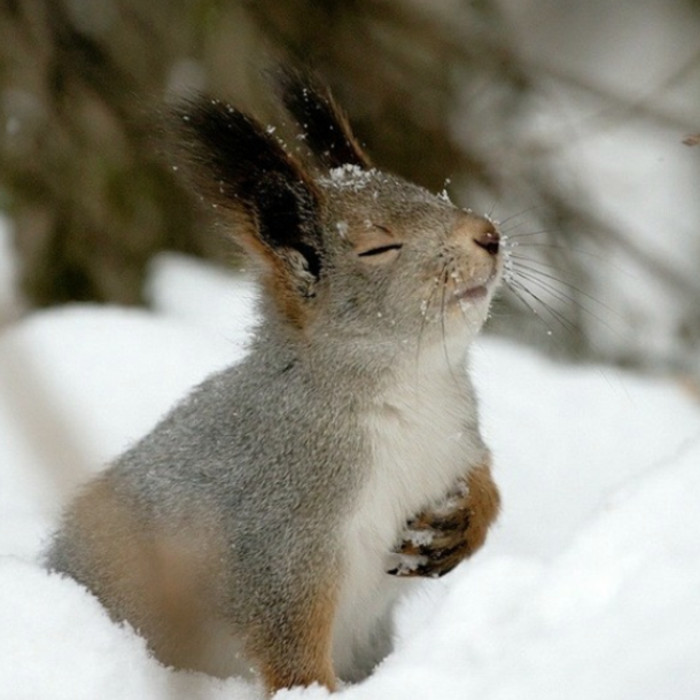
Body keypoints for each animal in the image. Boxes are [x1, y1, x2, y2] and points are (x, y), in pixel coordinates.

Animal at [45, 68, 504, 692]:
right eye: (378, 247)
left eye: (431, 193)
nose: (489, 234)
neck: (412, 389)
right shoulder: (281, 533)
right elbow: (287, 638)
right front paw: (313, 692)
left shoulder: (457, 438)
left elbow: (485, 480)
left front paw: (465, 521)